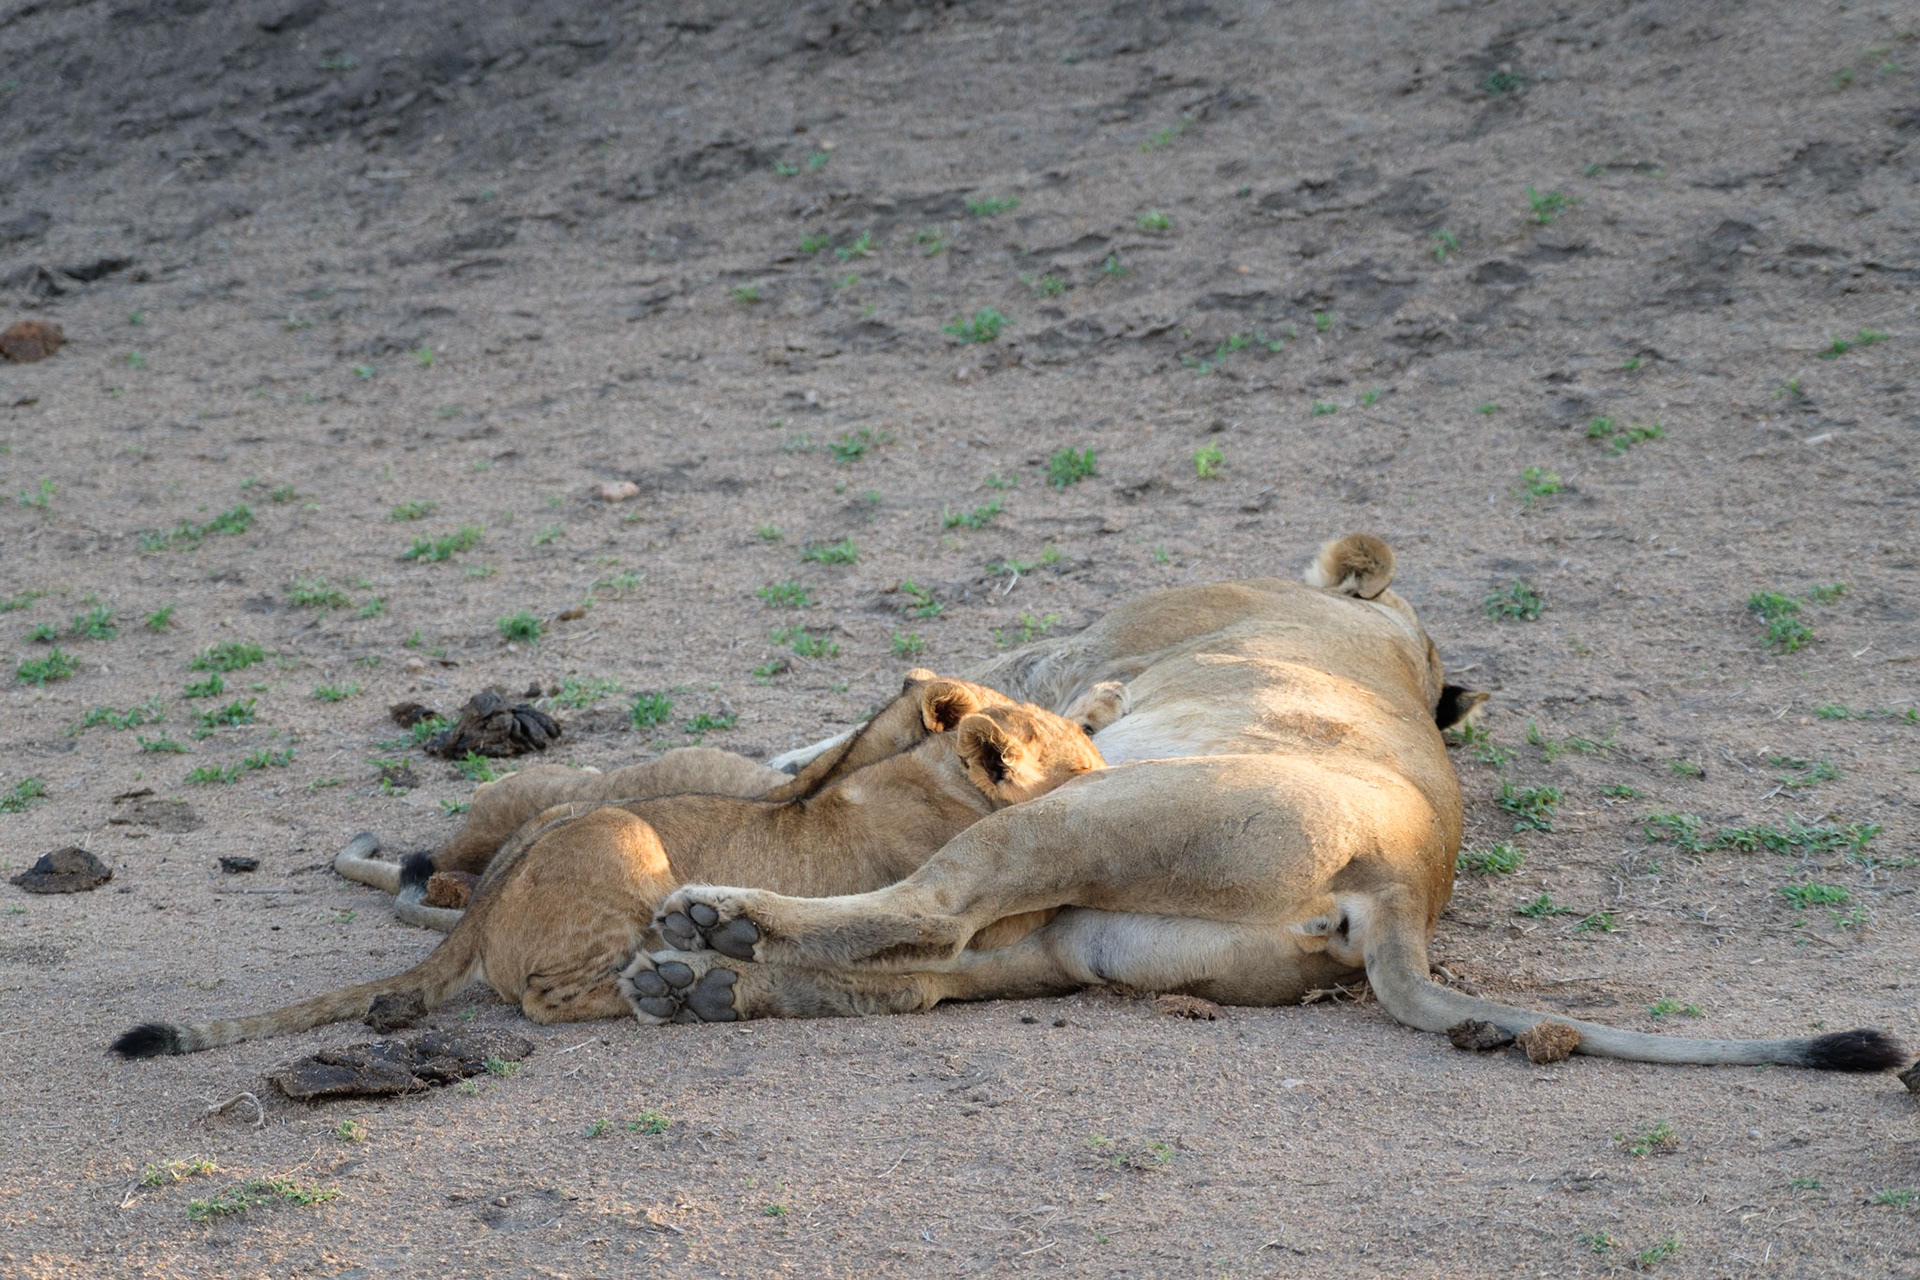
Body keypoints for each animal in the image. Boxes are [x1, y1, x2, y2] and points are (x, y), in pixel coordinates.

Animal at [110, 677, 1122, 1057]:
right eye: (1086, 769)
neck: (939, 780)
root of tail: (488, 899)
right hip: (620, 839)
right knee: (550, 996)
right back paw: (666, 983)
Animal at [617, 534, 1909, 1075]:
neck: (1398, 633)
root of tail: (1404, 894)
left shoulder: (1078, 654)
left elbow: (896, 703)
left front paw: (792, 751)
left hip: (1085, 822)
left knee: (928, 916)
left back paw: (713, 927)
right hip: (1077, 939)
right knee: (922, 974)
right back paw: (698, 986)